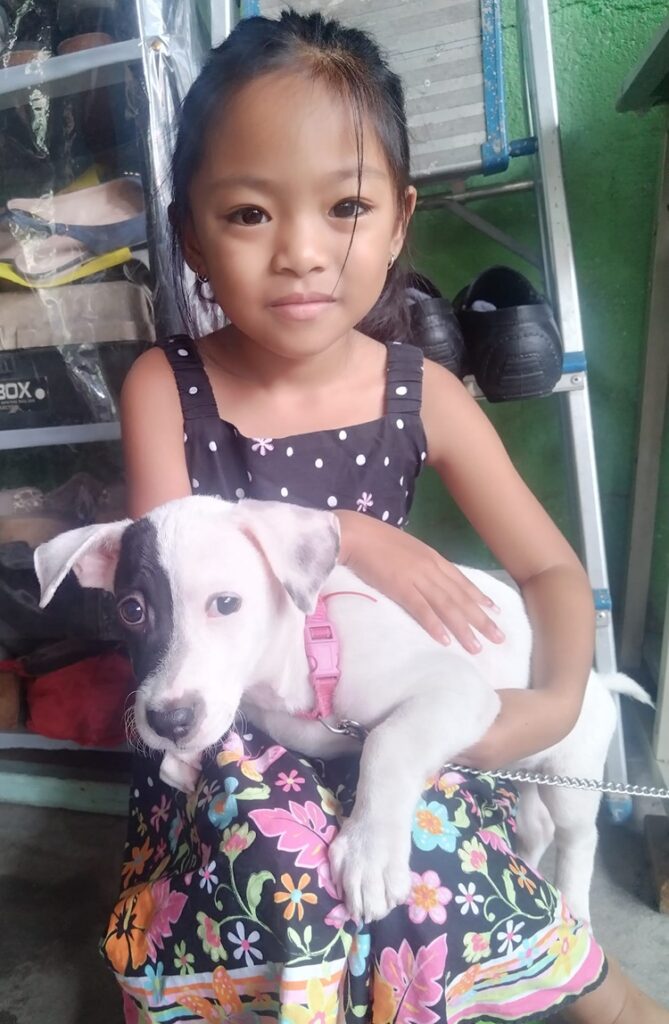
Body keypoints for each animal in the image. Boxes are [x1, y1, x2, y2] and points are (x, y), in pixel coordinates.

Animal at [34, 494, 650, 923]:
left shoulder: (458, 690)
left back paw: (577, 903)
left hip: (572, 772)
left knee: (578, 836)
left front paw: (369, 850)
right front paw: (183, 756)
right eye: (132, 610)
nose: (167, 721)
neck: (299, 656)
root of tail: (597, 682)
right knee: (538, 822)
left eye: (227, 604)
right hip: (530, 772)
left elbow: (387, 742)